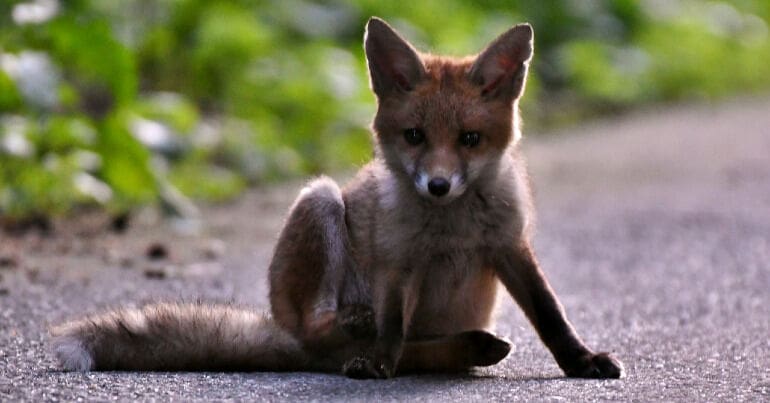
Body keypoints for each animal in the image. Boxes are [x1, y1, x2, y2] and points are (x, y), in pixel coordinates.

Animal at [51, 17, 623, 379]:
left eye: (469, 139)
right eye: (414, 136)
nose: (438, 186)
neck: (451, 230)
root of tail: (290, 341)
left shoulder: (510, 245)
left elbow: (552, 315)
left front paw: (582, 362)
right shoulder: (397, 261)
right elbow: (392, 326)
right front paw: (378, 361)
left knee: (416, 352)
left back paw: (465, 346)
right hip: (320, 203)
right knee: (331, 333)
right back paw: (360, 335)